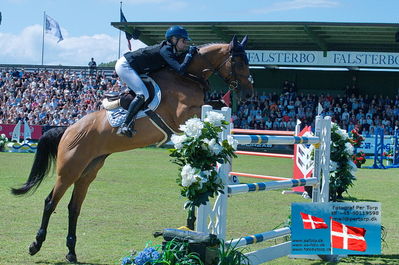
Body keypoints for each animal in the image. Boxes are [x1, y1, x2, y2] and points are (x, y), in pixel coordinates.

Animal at [11, 35, 253, 262]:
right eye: (239, 61)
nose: (248, 93)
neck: (185, 76)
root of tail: (68, 129)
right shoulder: (183, 114)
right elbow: (209, 108)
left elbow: (218, 105)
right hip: (69, 170)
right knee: (50, 202)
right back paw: (35, 244)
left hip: (88, 171)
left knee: (74, 207)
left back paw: (71, 252)